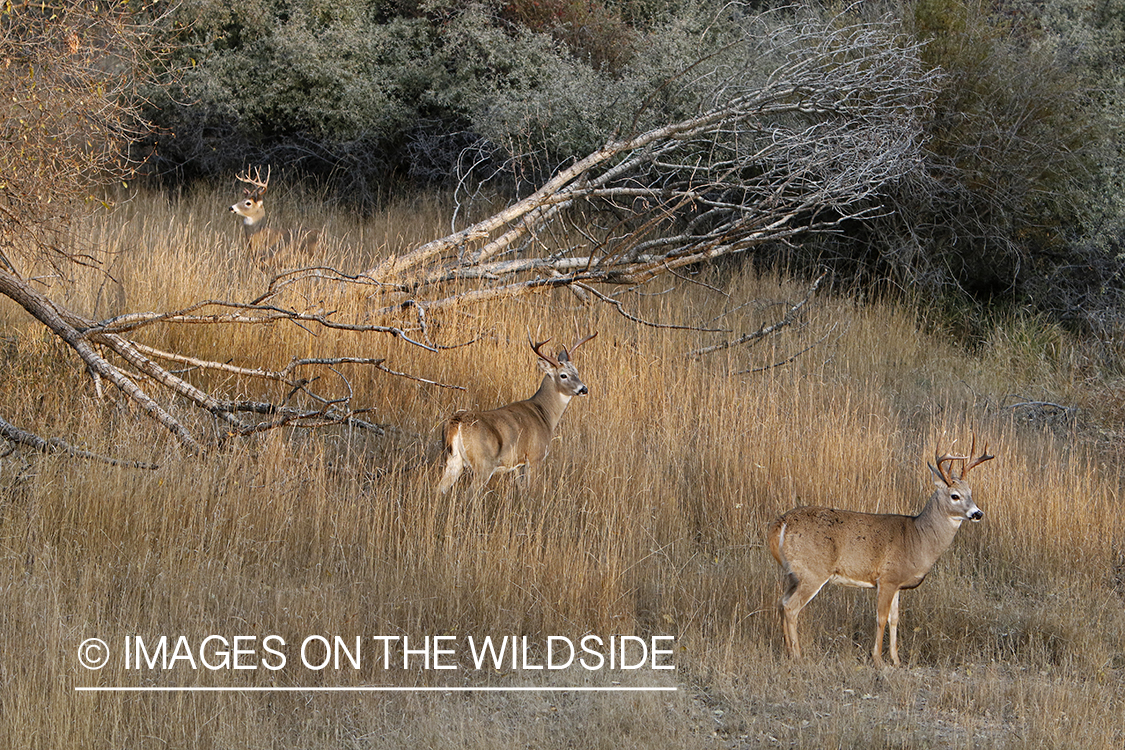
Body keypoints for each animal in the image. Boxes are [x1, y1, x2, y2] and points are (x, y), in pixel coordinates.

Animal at [436, 332, 598, 494]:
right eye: (563, 375)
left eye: (577, 372)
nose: (584, 389)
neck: (545, 414)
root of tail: (457, 422)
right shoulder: (534, 456)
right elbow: (531, 490)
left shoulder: (518, 465)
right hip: (483, 463)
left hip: (453, 461)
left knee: (439, 489)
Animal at [769, 440, 999, 670]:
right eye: (955, 496)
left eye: (970, 492)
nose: (978, 513)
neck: (917, 539)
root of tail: (781, 523)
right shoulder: (887, 578)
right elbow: (880, 617)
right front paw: (878, 660)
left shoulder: (897, 583)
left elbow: (894, 619)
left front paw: (896, 660)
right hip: (813, 571)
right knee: (791, 607)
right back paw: (797, 656)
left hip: (794, 574)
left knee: (781, 602)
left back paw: (788, 652)